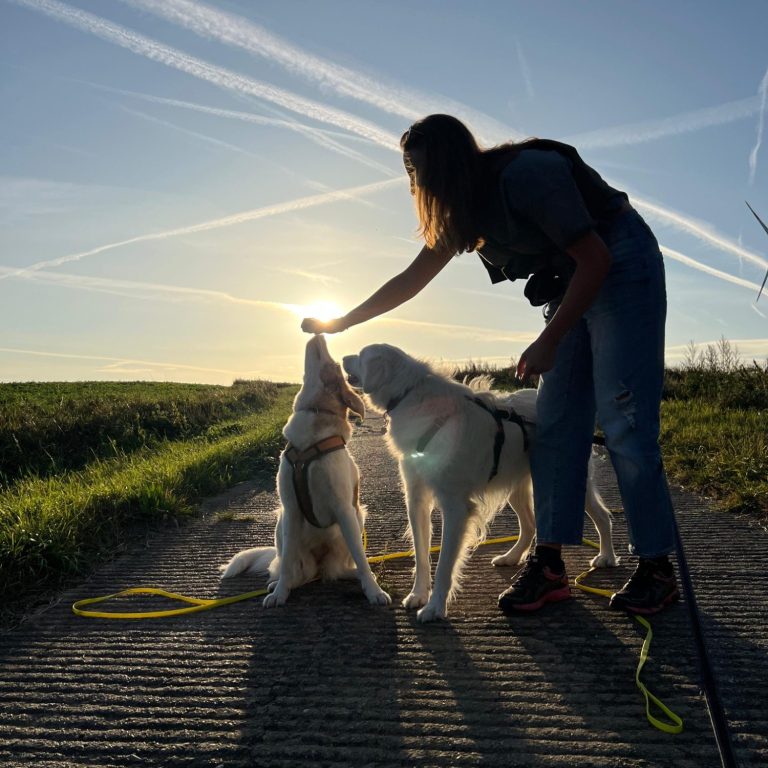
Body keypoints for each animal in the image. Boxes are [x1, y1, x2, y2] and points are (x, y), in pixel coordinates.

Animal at [220, 332, 390, 608]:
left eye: (332, 364)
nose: (320, 333)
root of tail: (320, 566)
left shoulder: (345, 509)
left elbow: (361, 558)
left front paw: (373, 590)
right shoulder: (290, 509)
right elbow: (287, 562)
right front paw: (280, 594)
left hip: (357, 517)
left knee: (341, 569)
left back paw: (357, 574)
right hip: (281, 524)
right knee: (292, 570)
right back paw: (280, 584)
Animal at [342, 344, 616, 620]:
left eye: (361, 355)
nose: (342, 357)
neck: (410, 395)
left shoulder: (455, 506)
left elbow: (444, 565)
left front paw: (435, 607)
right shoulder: (416, 500)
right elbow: (421, 556)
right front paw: (418, 595)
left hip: (570, 483)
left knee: (603, 517)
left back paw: (606, 557)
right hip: (516, 488)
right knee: (529, 526)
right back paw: (511, 557)